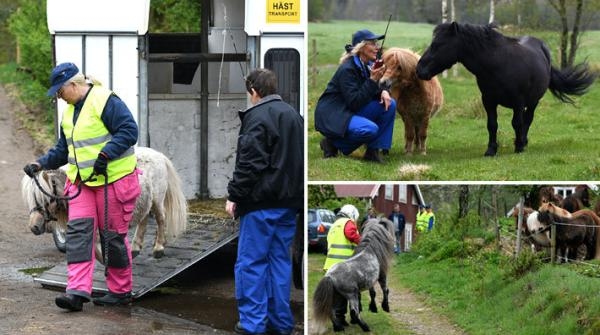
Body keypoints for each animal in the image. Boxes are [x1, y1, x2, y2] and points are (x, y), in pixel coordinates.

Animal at [20, 147, 188, 260]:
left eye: (46, 199)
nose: (34, 227)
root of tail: (159, 155)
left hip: (157, 200)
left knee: (161, 219)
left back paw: (158, 248)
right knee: (144, 218)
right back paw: (135, 248)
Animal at [414, 22, 596, 156]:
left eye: (438, 44)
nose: (419, 69)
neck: (498, 64)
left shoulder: (518, 101)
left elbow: (517, 123)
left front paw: (519, 147)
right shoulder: (488, 101)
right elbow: (492, 124)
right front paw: (491, 150)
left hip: (533, 101)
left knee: (527, 120)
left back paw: (522, 142)